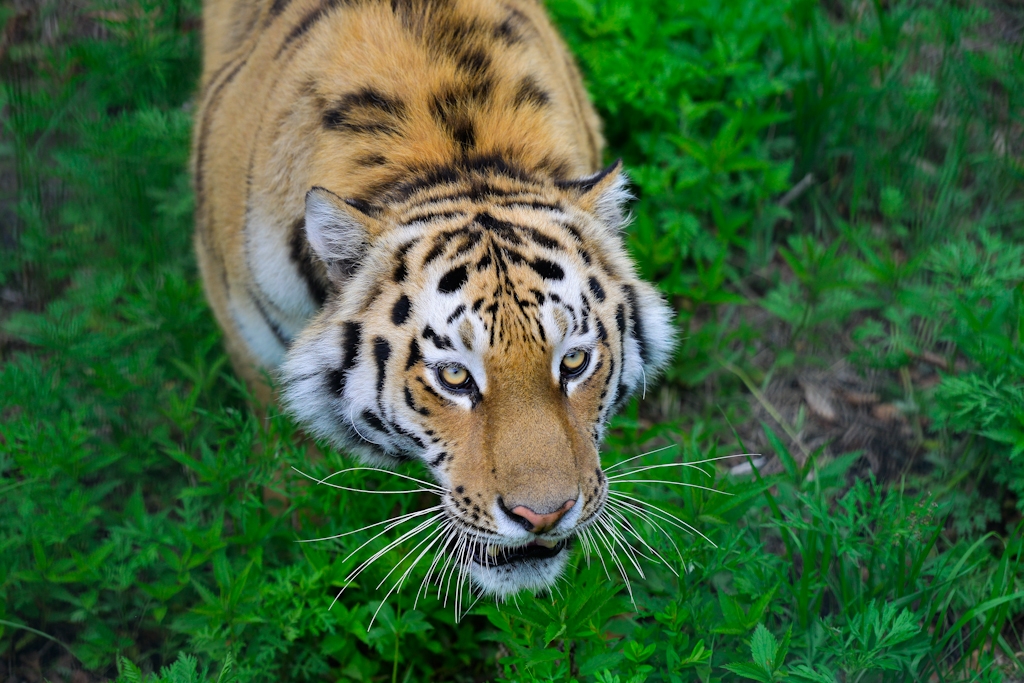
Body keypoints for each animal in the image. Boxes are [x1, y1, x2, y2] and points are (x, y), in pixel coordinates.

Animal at [193, 0, 676, 597]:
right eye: (454, 376)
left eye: (574, 362)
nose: (543, 515)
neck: (453, 154)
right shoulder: (253, 348)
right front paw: (291, 547)